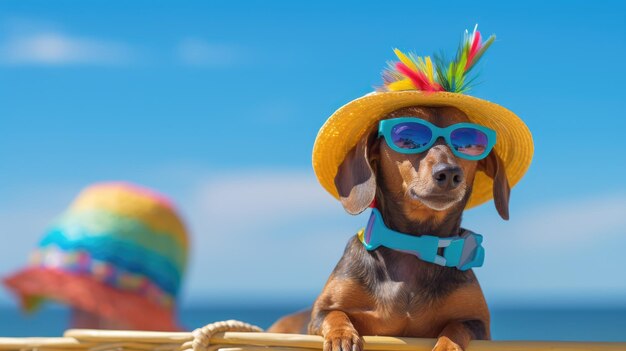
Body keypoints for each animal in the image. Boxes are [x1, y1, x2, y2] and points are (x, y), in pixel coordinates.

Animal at [266, 105, 508, 351]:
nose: (449, 173)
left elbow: (456, 327)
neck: (415, 244)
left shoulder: (478, 324)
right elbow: (335, 314)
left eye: (468, 144)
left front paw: (447, 346)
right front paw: (342, 336)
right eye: (408, 138)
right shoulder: (321, 312)